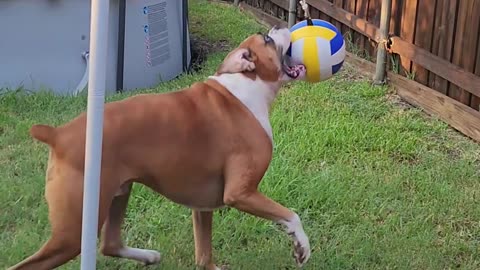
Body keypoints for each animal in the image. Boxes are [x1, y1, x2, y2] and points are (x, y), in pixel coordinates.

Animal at [9, 25, 312, 270]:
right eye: (267, 40)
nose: (279, 26)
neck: (248, 85)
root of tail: (57, 134)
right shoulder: (241, 193)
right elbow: (291, 216)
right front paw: (301, 246)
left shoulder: (202, 207)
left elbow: (204, 256)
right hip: (74, 232)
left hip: (118, 194)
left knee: (110, 244)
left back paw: (148, 256)